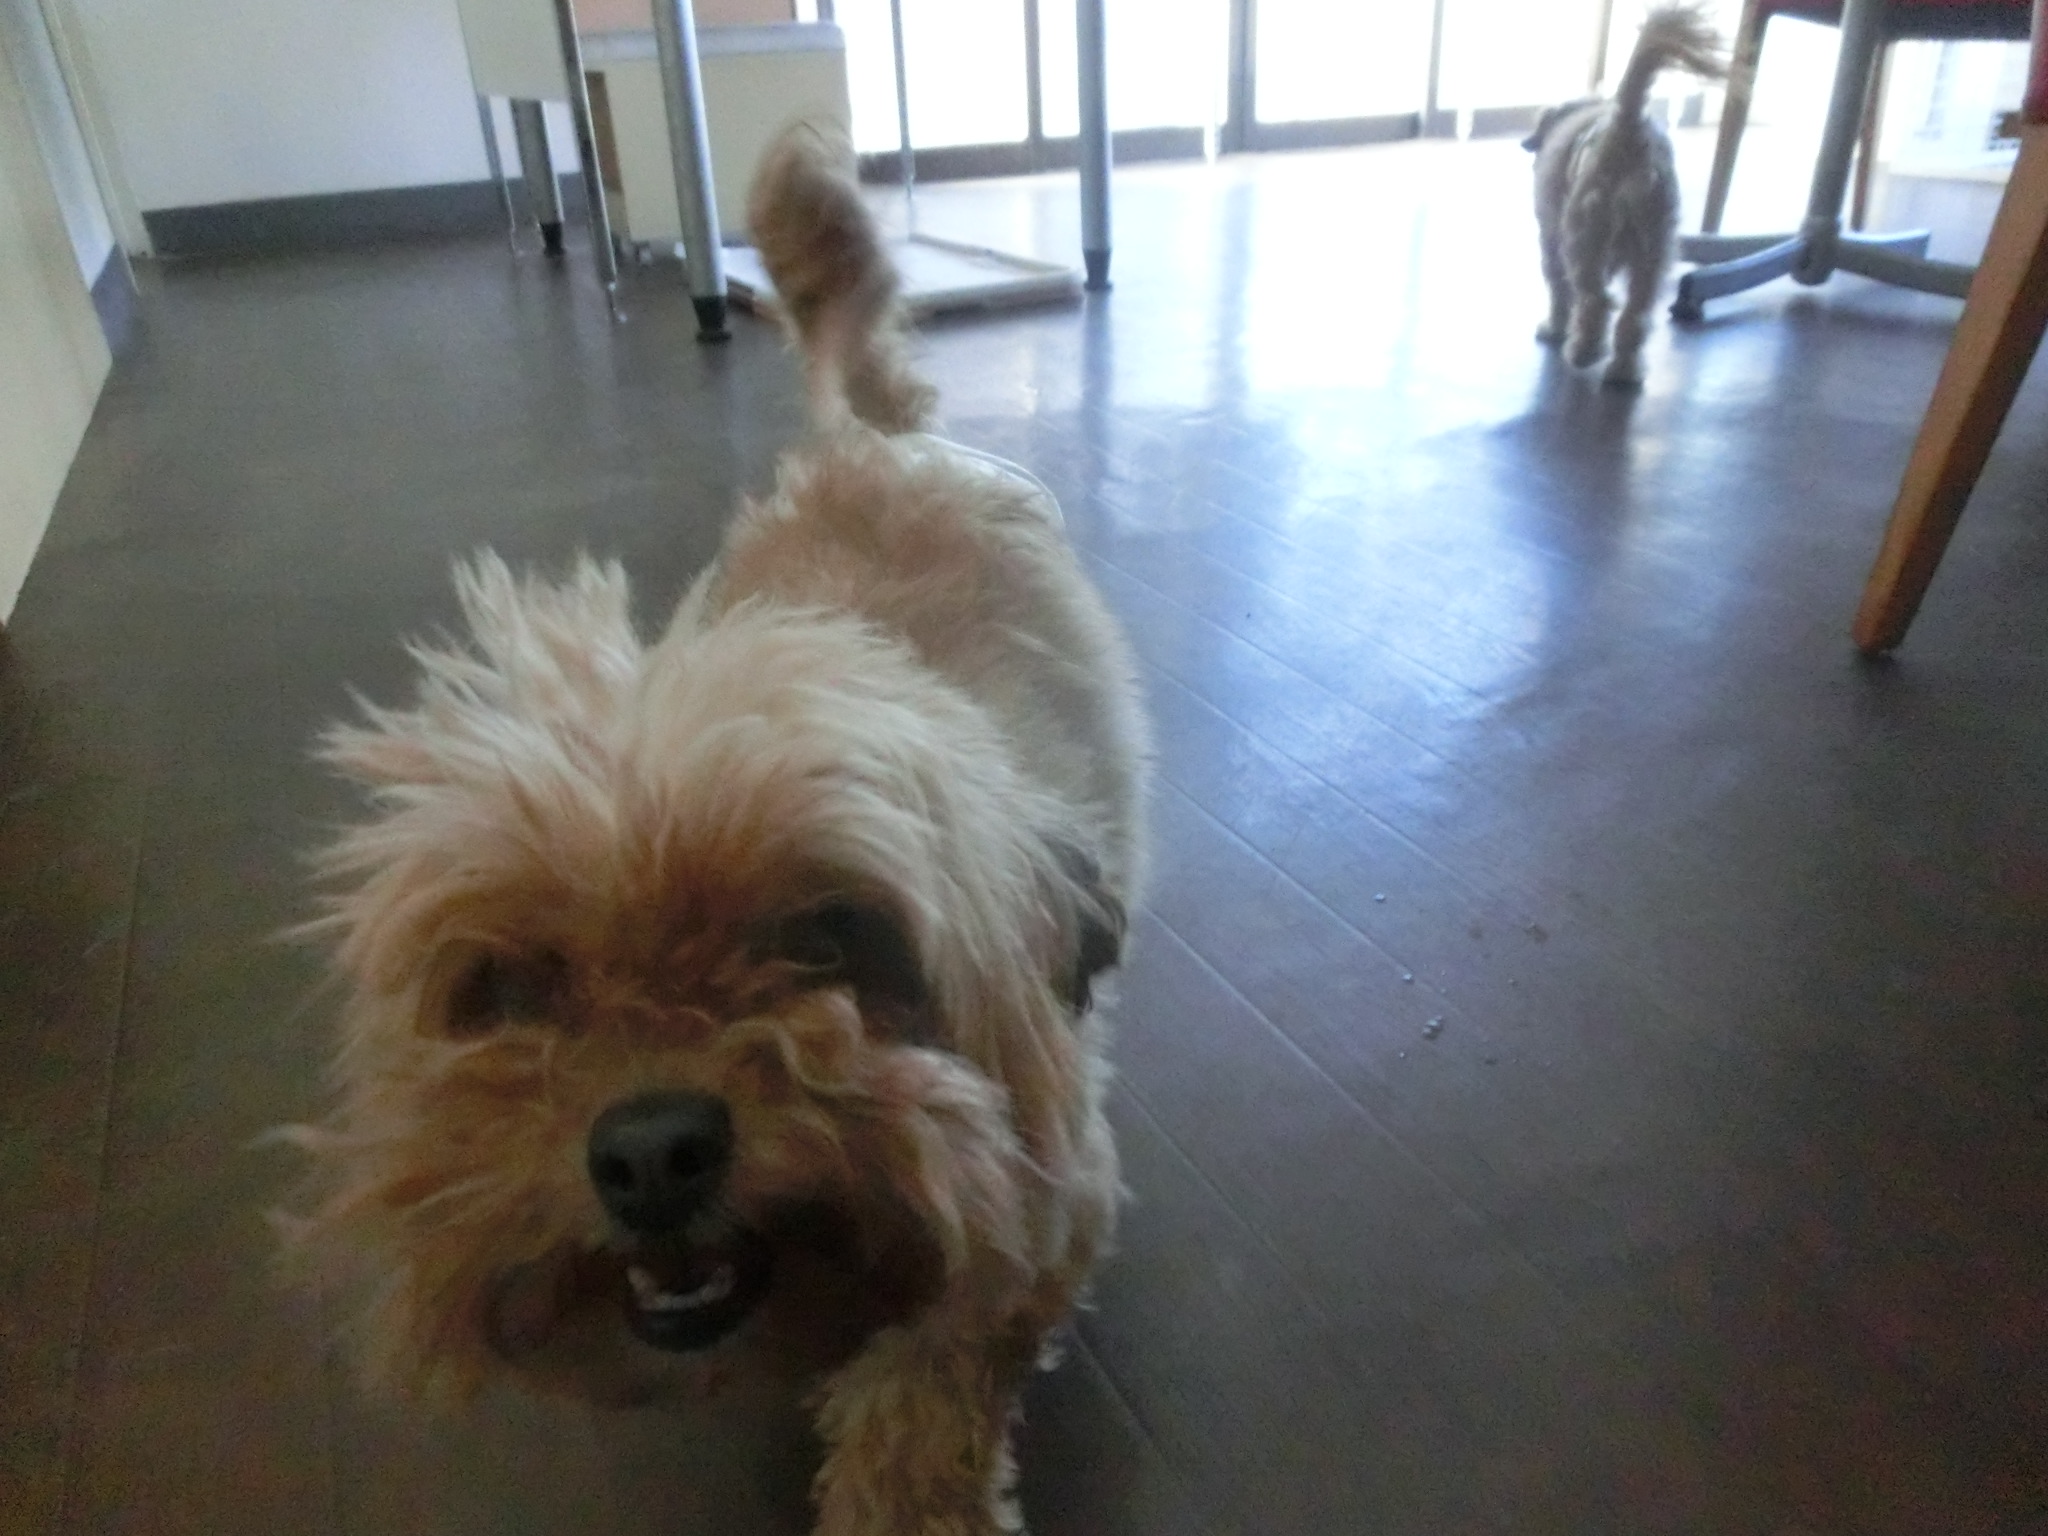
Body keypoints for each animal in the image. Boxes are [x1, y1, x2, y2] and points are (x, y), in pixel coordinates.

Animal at [278, 126, 1150, 1536]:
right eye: (508, 987)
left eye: (829, 941)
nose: (649, 1153)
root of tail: (872, 444)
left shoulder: (1035, 1204)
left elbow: (930, 1374)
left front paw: (904, 1497)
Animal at [1525, 2, 1726, 387]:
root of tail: (1628, 129)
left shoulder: (1550, 239)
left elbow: (1558, 290)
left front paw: (1554, 329)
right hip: (1654, 248)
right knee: (1636, 313)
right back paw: (1624, 371)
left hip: (1585, 239)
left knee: (1595, 299)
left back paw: (1585, 351)